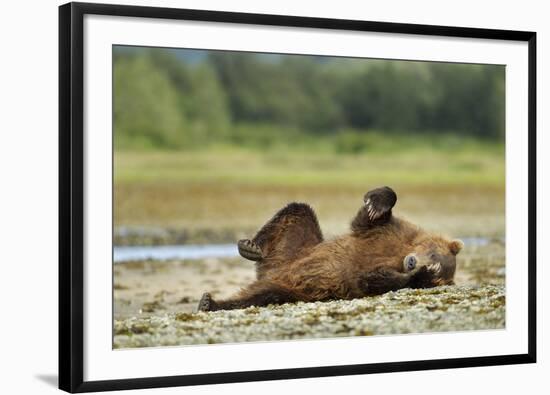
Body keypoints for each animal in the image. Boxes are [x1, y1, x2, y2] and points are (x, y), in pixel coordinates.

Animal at [196, 187, 464, 314]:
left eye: (436, 271)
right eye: (433, 255)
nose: (412, 263)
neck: (401, 252)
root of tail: (271, 272)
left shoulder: (361, 275)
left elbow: (373, 279)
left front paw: (417, 275)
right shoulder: (389, 232)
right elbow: (368, 219)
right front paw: (376, 203)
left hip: (290, 289)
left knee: (260, 296)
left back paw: (210, 303)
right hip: (295, 248)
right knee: (298, 210)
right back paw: (251, 248)